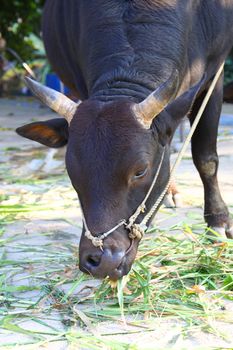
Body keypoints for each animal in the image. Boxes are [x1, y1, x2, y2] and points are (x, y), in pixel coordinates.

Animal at [16, 0, 233, 278]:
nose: (100, 261)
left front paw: (218, 222)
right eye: (71, 170)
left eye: (141, 171)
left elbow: (206, 159)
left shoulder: (214, 75)